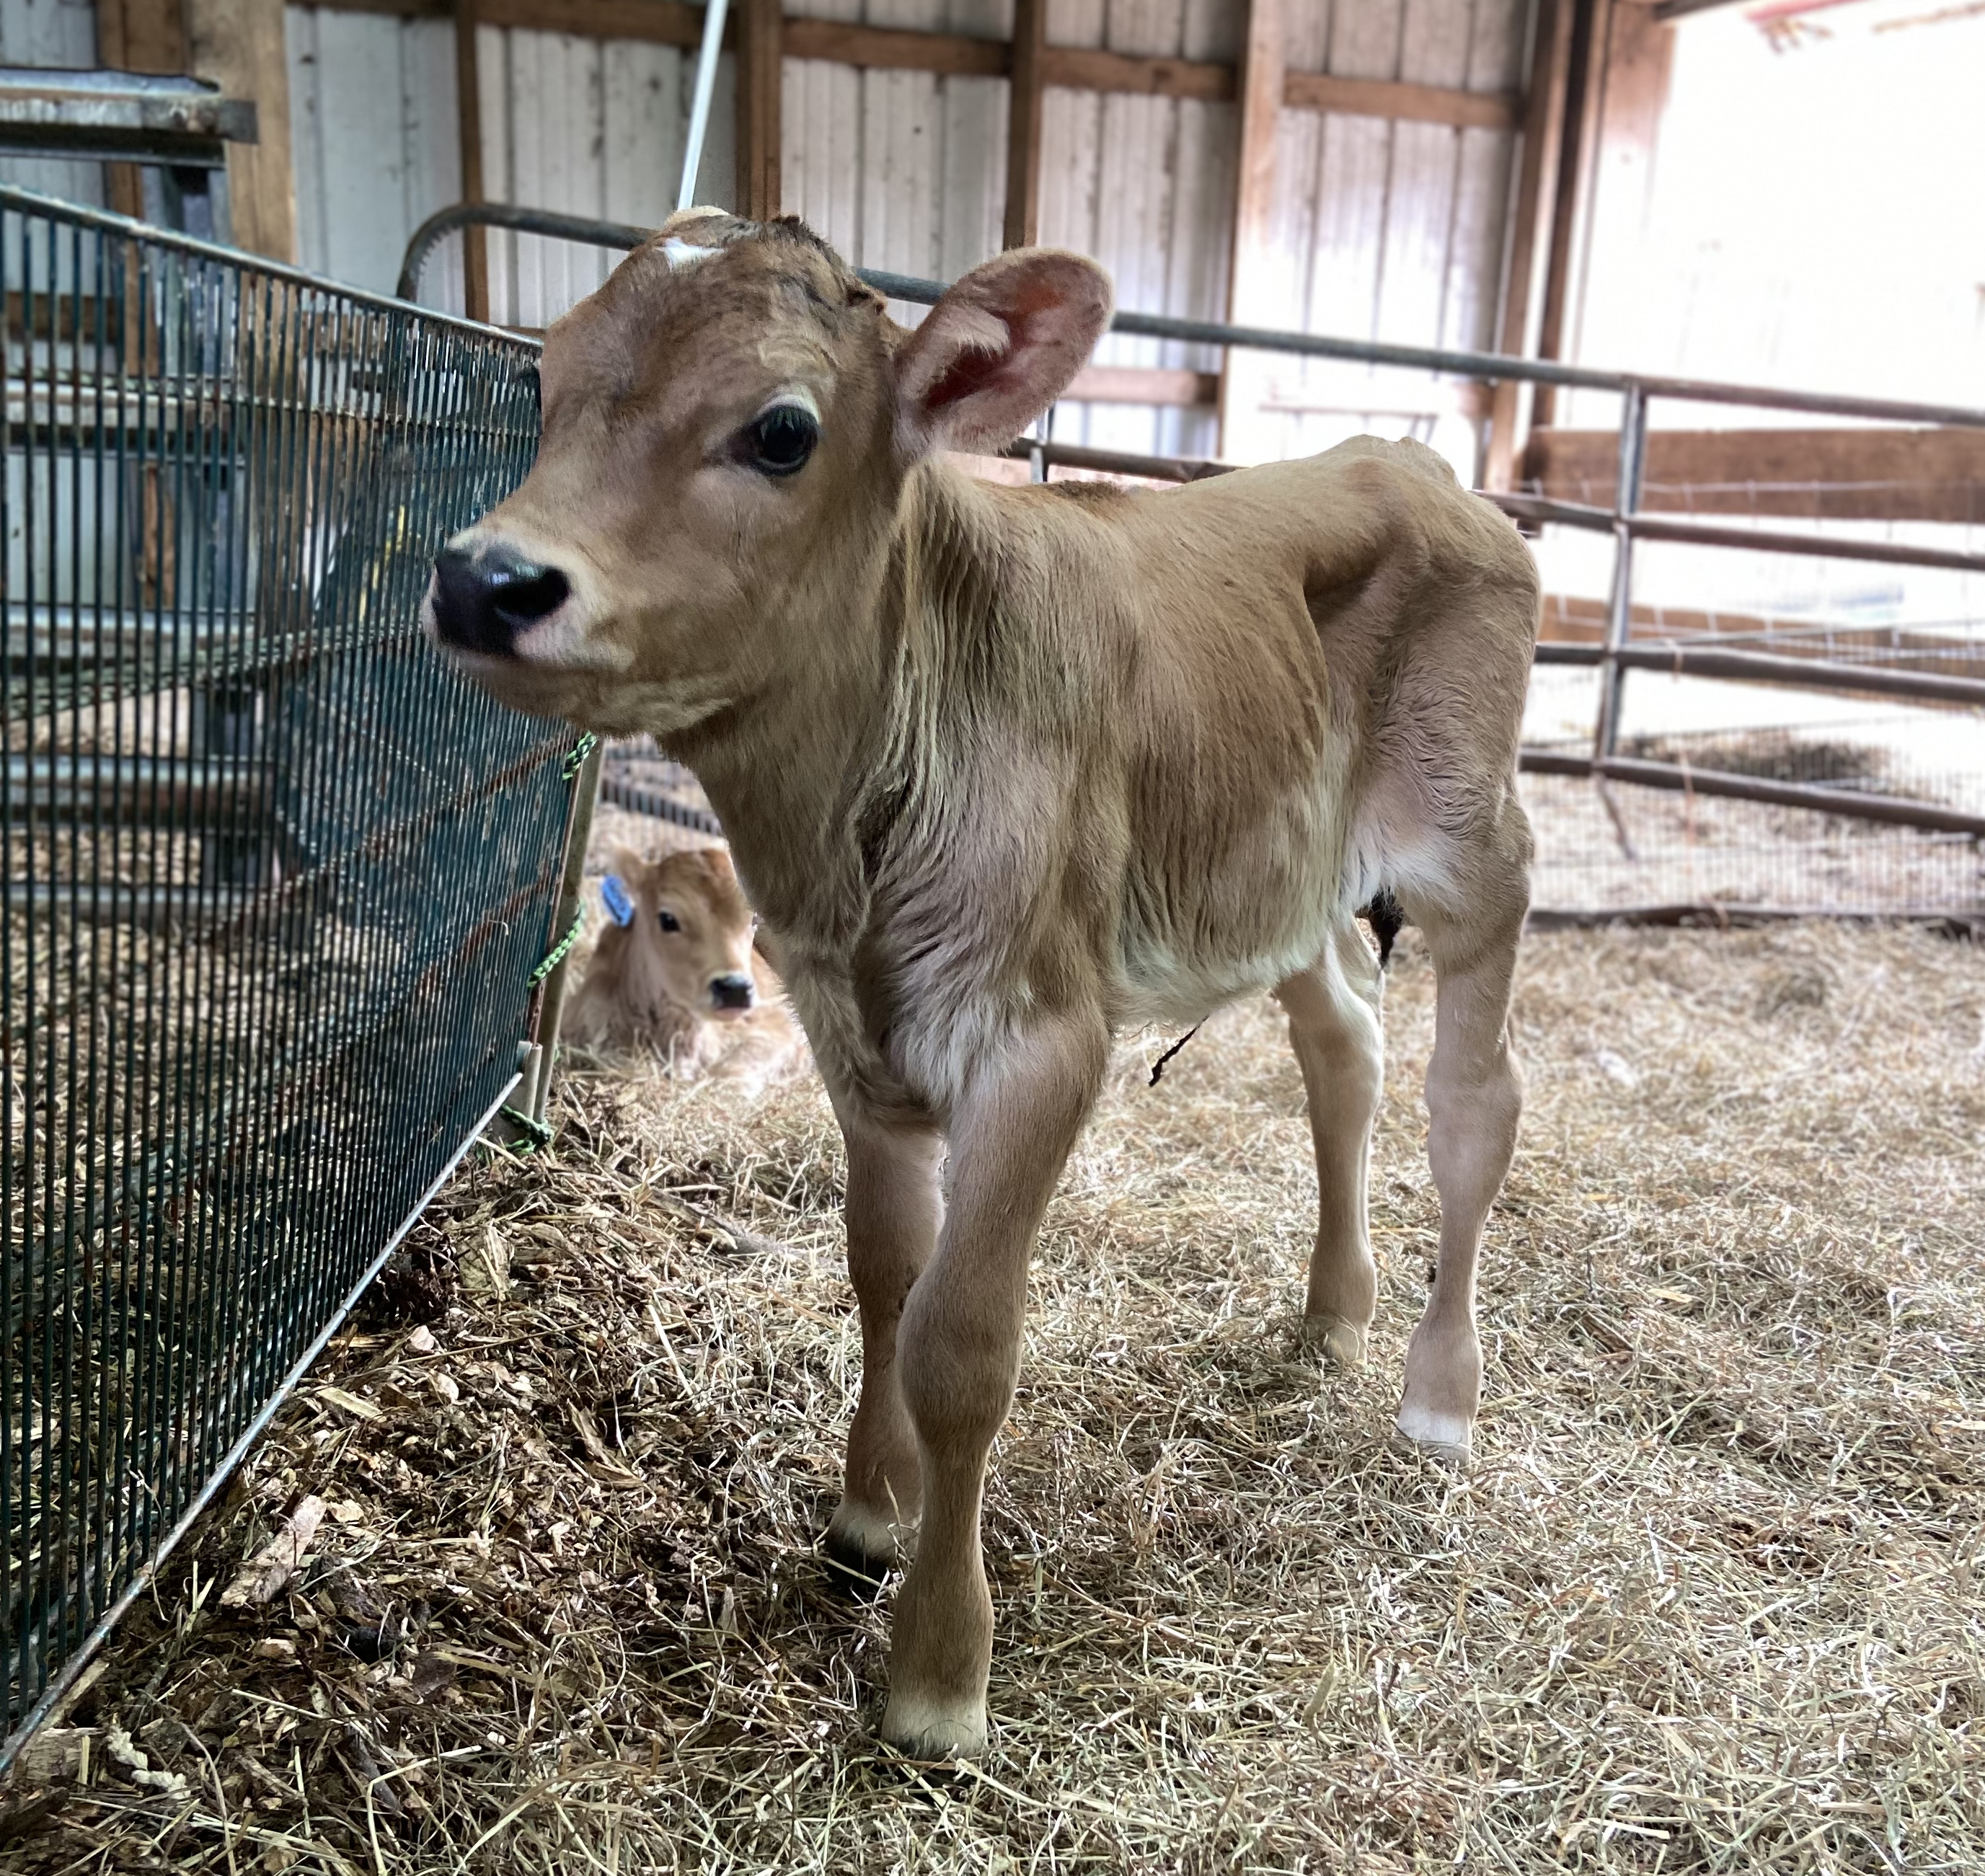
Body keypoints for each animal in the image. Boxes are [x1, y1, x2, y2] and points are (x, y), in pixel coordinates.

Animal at [425, 208, 1537, 1760]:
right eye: (545, 377)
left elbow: (958, 1339)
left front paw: (937, 1671)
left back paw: (1437, 1395)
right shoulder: (853, 1040)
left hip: (1463, 833)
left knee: (1471, 1099)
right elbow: (884, 1277)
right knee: (1343, 1049)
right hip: (1282, 874)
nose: (486, 580)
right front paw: (865, 1513)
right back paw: (1330, 1312)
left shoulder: (1039, 1041)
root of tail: (1411, 462)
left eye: (781, 430)